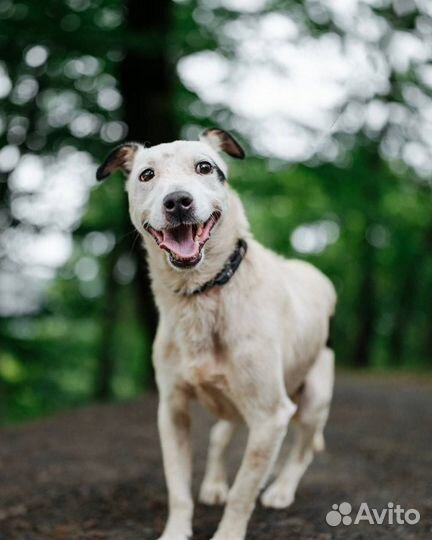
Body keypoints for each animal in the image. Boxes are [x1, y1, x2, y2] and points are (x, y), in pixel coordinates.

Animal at [96, 127, 336, 540]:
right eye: (146, 175)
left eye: (205, 167)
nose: (178, 201)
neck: (203, 293)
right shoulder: (172, 410)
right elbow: (178, 487)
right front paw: (177, 530)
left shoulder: (270, 415)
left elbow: (243, 494)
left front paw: (230, 528)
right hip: (233, 402)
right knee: (222, 435)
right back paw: (215, 483)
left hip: (313, 399)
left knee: (301, 449)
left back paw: (281, 488)